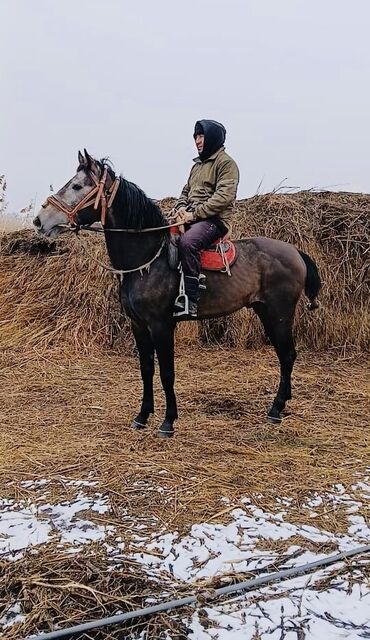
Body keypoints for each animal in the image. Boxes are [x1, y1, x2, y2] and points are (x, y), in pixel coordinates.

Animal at [34, 150, 320, 438]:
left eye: (77, 186)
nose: (39, 220)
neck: (148, 259)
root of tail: (295, 251)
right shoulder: (138, 325)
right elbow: (146, 369)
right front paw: (142, 416)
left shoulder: (161, 325)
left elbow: (167, 372)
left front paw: (168, 422)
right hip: (265, 312)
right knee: (284, 354)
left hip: (280, 313)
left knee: (287, 354)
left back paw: (276, 409)